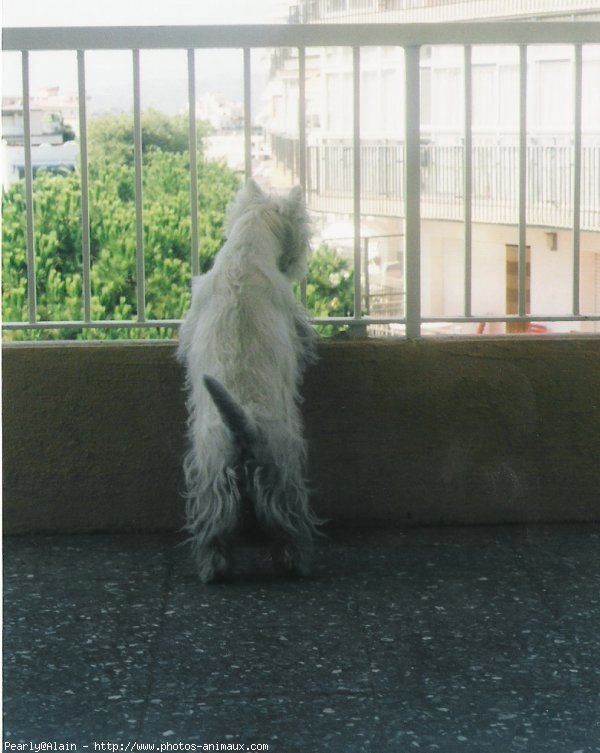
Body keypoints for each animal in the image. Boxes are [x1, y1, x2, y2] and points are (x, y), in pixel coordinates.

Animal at [176, 178, 322, 580]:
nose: (299, 261)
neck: (246, 249)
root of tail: (245, 428)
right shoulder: (293, 319)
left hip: (213, 474)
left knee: (214, 530)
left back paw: (212, 568)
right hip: (282, 467)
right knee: (290, 525)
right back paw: (298, 562)